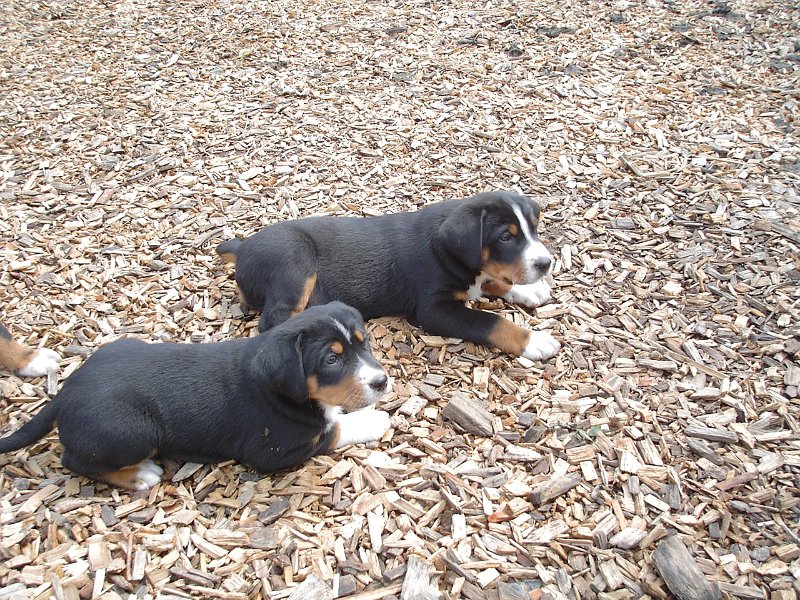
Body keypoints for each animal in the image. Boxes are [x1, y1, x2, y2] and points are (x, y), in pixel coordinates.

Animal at [0, 302, 390, 490]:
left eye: (365, 342)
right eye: (331, 359)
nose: (382, 381)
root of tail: (66, 391)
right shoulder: (274, 449)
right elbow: (333, 430)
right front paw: (373, 419)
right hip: (133, 430)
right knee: (74, 461)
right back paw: (138, 476)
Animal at [216, 191, 560, 360]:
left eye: (534, 229)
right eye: (506, 237)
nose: (546, 263)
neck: (446, 250)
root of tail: (243, 247)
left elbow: (491, 280)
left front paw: (530, 291)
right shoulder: (434, 310)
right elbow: (490, 321)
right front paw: (533, 340)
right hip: (294, 260)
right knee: (274, 319)